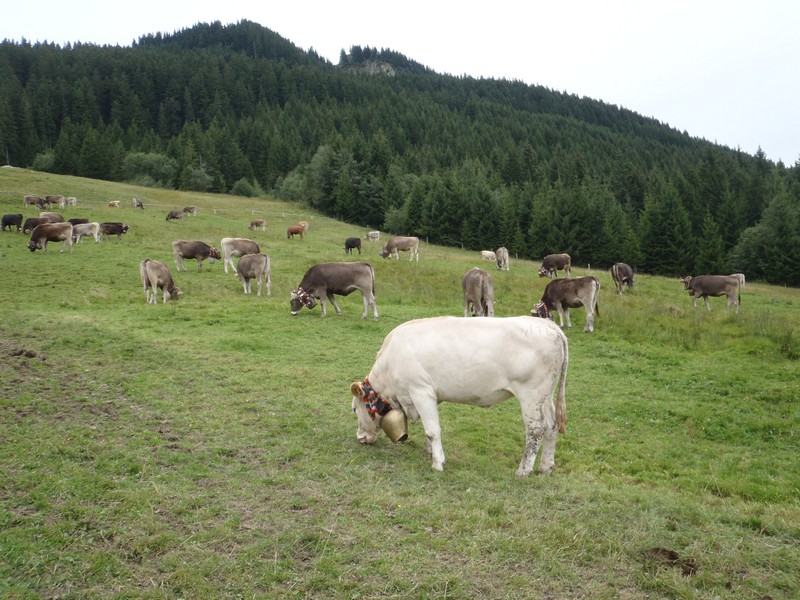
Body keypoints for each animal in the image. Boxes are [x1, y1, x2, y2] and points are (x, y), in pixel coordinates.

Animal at [349, 316, 568, 475]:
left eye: (354, 409)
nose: (360, 438)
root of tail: (547, 324)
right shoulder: (432, 395)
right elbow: (432, 428)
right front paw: (430, 451)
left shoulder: (420, 391)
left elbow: (432, 430)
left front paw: (437, 463)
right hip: (545, 396)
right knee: (551, 426)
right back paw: (546, 467)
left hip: (531, 395)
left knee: (536, 429)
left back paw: (523, 470)